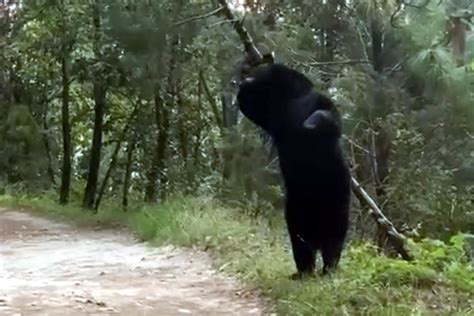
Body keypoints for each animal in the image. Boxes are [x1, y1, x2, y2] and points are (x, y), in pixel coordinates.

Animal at [239, 55, 350, 278]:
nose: (246, 78)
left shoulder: (309, 105)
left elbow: (329, 114)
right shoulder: (274, 115)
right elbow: (250, 106)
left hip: (338, 196)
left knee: (334, 237)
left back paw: (328, 268)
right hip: (296, 209)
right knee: (300, 241)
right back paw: (304, 271)